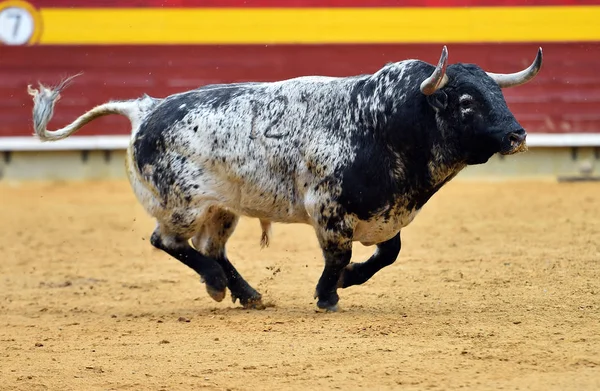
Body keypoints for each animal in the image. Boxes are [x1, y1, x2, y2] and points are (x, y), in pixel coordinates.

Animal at [28, 46, 544, 312]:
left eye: (498, 94)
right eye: (467, 103)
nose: (518, 134)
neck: (384, 122)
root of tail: (147, 107)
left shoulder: (386, 211)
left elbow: (387, 254)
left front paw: (350, 281)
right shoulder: (328, 209)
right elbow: (339, 256)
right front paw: (328, 296)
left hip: (222, 208)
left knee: (211, 247)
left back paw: (246, 293)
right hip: (184, 205)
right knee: (170, 242)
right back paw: (216, 284)